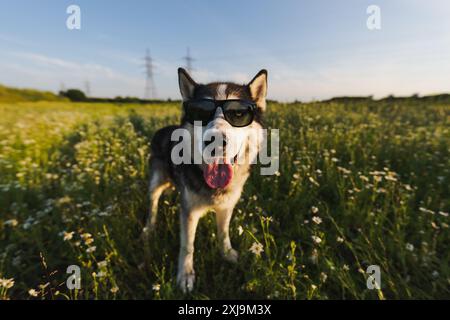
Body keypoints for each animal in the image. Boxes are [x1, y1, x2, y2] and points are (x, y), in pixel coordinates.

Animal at [143, 68, 268, 292]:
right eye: (200, 112)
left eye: (238, 114)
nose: (216, 140)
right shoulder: (189, 212)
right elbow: (187, 245)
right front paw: (185, 276)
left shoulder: (226, 207)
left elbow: (223, 233)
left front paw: (227, 254)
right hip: (156, 182)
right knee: (153, 204)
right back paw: (149, 228)